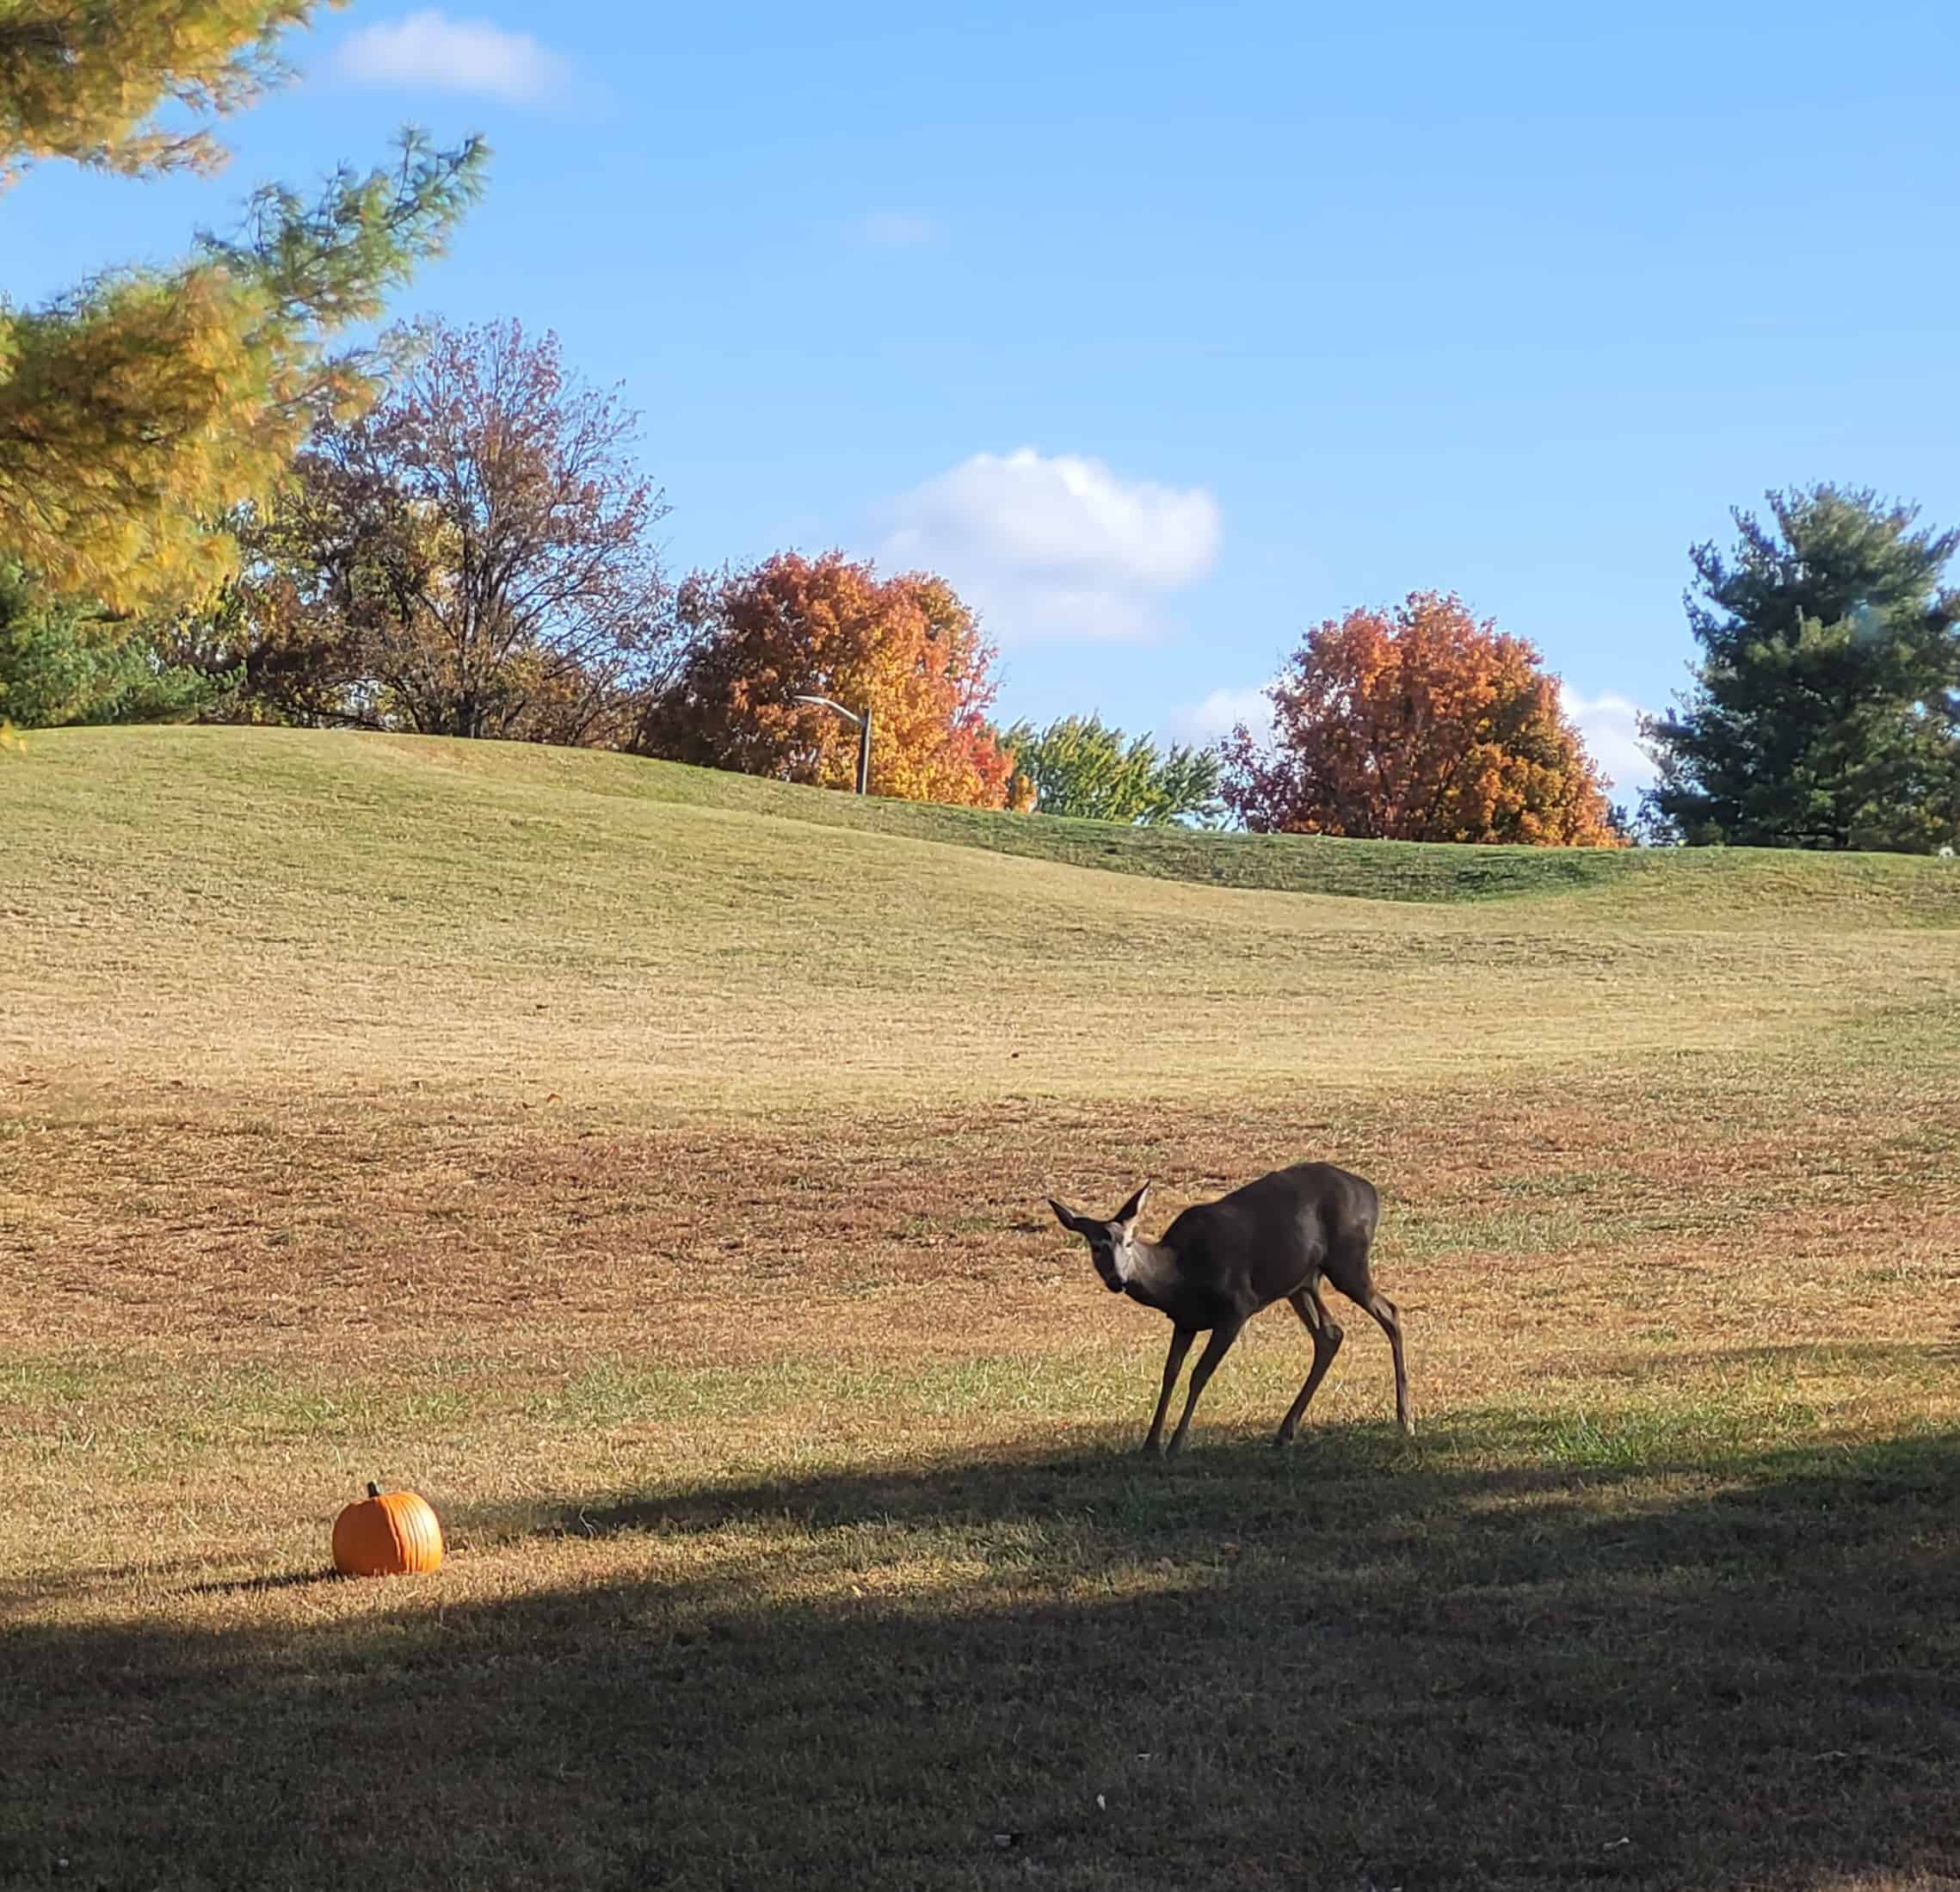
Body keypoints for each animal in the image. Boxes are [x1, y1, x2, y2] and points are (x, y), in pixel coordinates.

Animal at [1048, 1163, 1411, 1456]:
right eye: (1096, 1247)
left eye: (1128, 1242)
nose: (1118, 1280)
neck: (1179, 1277)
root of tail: (1371, 1191)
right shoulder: (1184, 1321)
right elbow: (1170, 1373)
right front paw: (1151, 1444)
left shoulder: (1236, 1308)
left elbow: (1199, 1374)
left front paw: (1176, 1444)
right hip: (1302, 1283)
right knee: (1331, 1333)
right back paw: (1285, 1433)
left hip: (1348, 1259)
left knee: (1389, 1312)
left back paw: (1404, 1419)